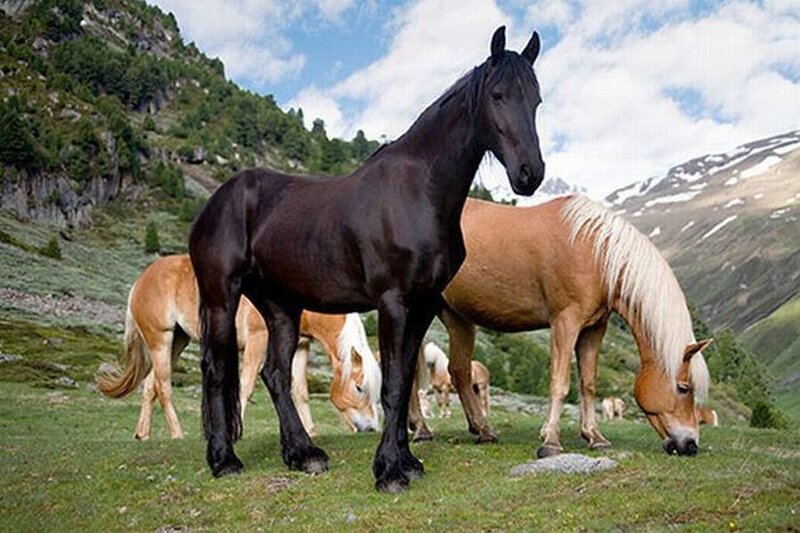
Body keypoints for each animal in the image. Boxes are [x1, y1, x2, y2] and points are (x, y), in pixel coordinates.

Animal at [96, 255, 381, 440]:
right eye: (359, 387)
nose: (370, 428)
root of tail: (141, 280)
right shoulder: (258, 341)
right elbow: (246, 386)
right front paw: (238, 430)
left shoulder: (301, 347)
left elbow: (300, 391)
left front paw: (310, 431)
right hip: (161, 340)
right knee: (164, 386)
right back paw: (178, 434)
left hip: (177, 341)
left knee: (150, 385)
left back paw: (142, 434)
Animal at [188, 26, 545, 492]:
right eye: (498, 95)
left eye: (536, 100)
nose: (529, 174)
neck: (418, 192)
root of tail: (216, 202)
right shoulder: (393, 302)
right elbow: (393, 385)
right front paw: (389, 471)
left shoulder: (423, 305)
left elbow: (406, 380)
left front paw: (407, 461)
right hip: (221, 298)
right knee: (215, 370)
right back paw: (224, 459)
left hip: (281, 308)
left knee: (276, 375)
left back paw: (303, 454)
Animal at [408, 195, 710, 457]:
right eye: (684, 388)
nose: (690, 445)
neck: (593, 250)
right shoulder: (565, 322)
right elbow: (560, 383)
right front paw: (551, 440)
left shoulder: (593, 329)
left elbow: (588, 383)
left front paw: (594, 436)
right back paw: (421, 429)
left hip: (456, 317)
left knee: (458, 371)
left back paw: (482, 430)